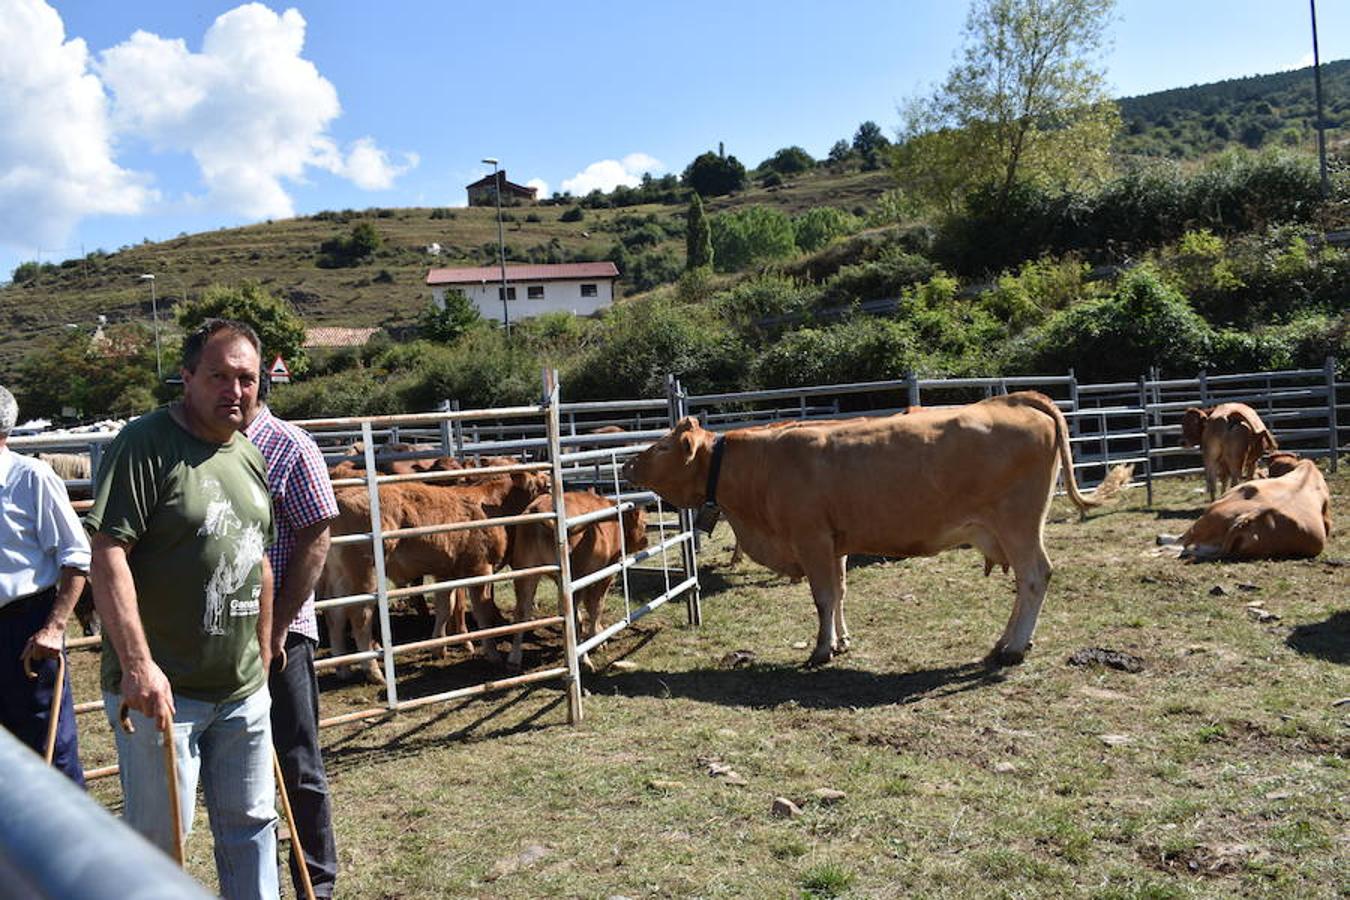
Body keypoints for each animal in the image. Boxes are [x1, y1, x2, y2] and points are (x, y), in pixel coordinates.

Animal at [507, 488, 650, 671]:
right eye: (644, 523)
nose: (645, 541)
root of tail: (538, 507)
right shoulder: (606, 571)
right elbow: (596, 605)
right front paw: (597, 638)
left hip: (526, 574)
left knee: (522, 612)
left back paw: (514, 658)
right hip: (574, 579)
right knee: (573, 616)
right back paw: (583, 659)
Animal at [621, 391, 1107, 669]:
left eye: (661, 446)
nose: (626, 465)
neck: (762, 464)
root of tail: (1016, 400)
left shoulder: (811, 538)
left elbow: (822, 596)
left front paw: (821, 649)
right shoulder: (835, 542)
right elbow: (839, 593)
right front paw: (841, 641)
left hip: (1019, 525)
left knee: (1034, 577)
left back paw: (1013, 647)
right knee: (1026, 584)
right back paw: (1006, 641)